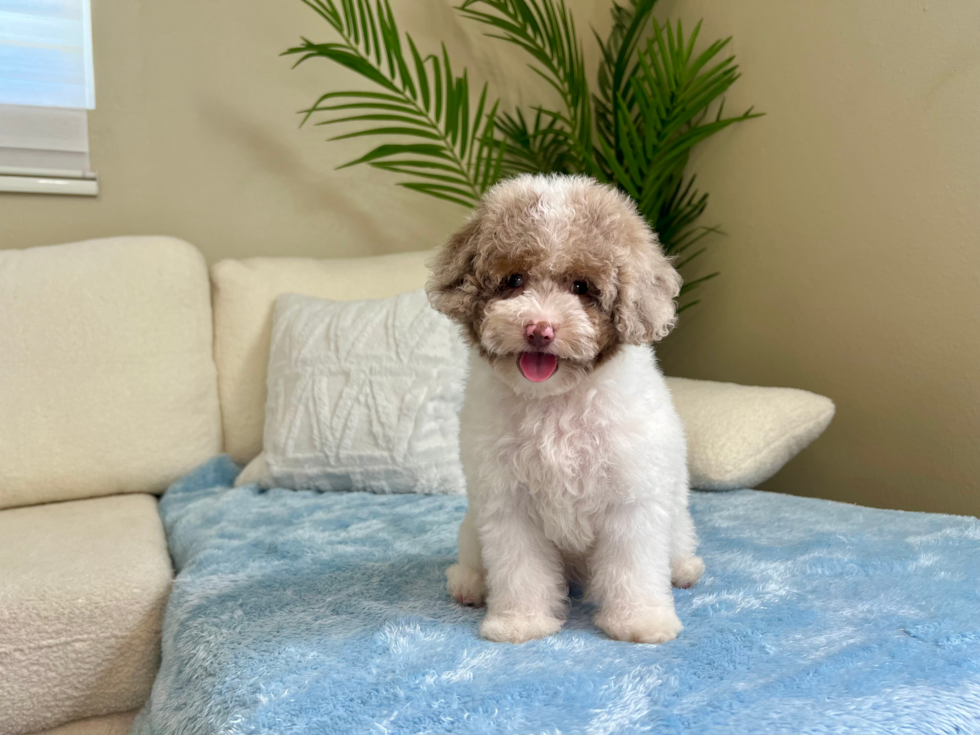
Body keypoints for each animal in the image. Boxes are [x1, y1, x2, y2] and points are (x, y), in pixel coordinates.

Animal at [424, 172, 700, 644]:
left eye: (581, 287)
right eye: (514, 279)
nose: (540, 329)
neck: (554, 402)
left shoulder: (631, 494)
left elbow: (633, 564)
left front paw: (640, 620)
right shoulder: (508, 501)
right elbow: (520, 568)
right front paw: (521, 622)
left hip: (676, 517)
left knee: (677, 543)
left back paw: (684, 569)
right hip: (473, 528)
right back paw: (469, 584)